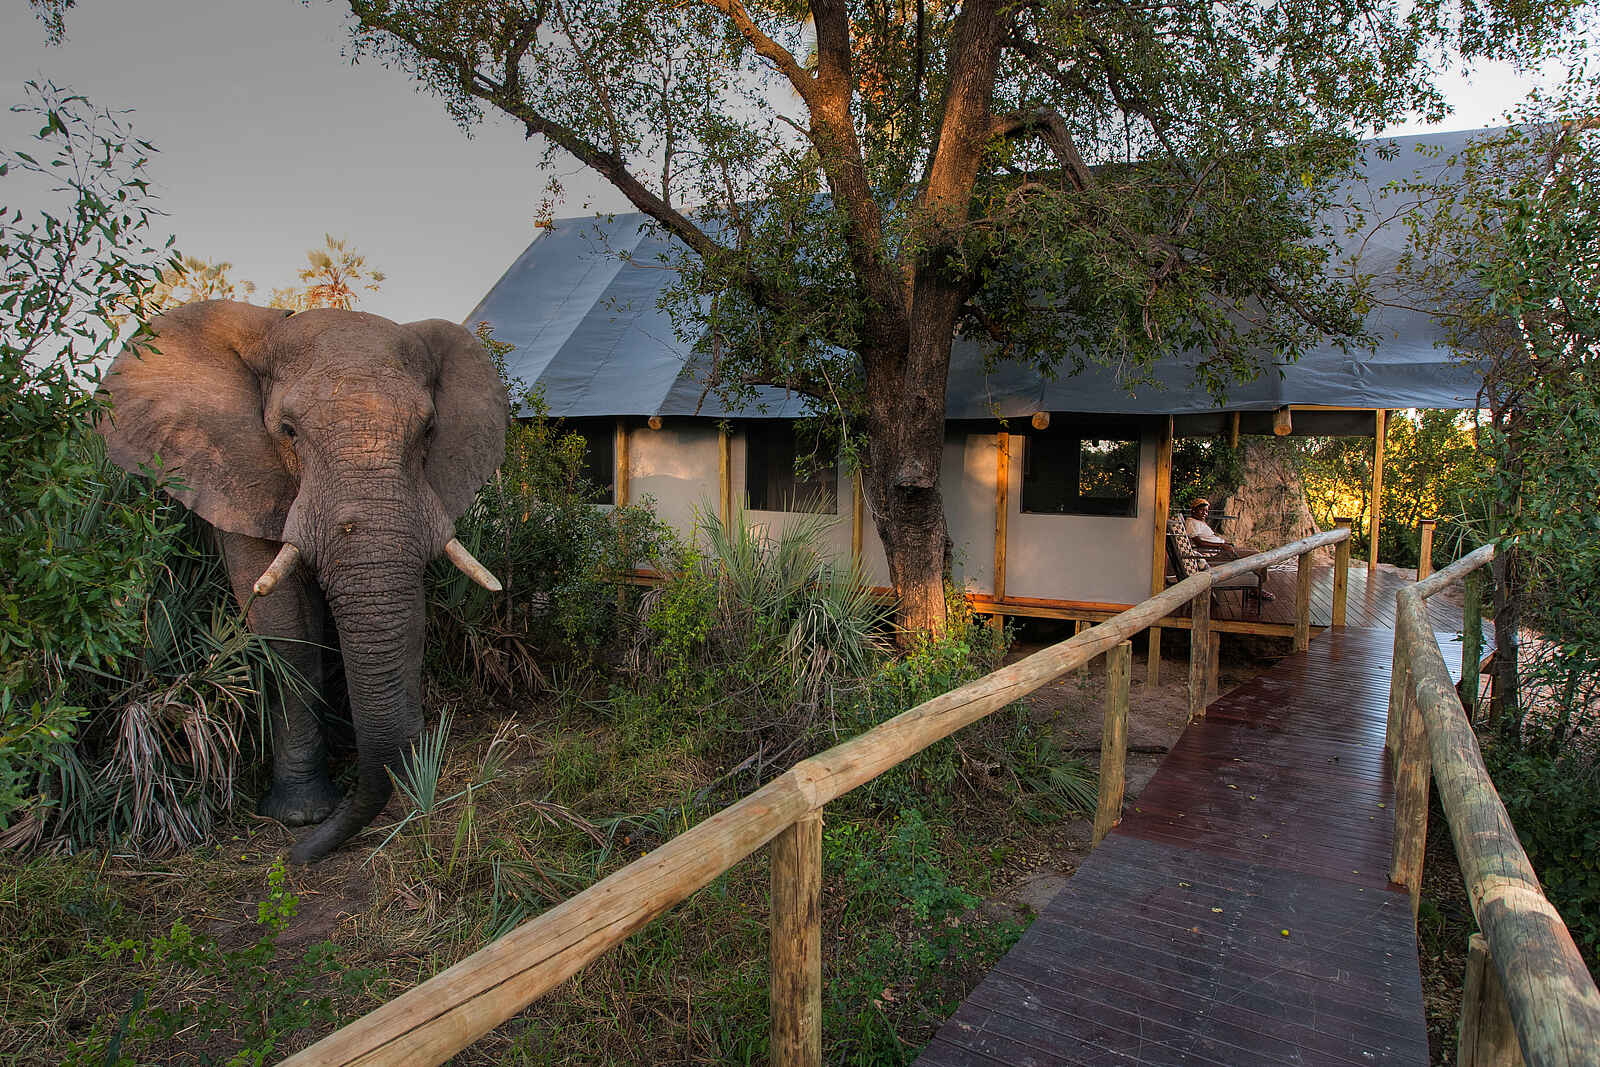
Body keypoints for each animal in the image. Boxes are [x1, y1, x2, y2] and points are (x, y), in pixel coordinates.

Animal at [98, 300, 509, 864]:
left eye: (428, 431)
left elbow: (406, 614)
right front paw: (300, 817)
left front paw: (404, 781)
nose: (295, 859)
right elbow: (286, 628)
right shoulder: (238, 476)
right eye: (288, 430)